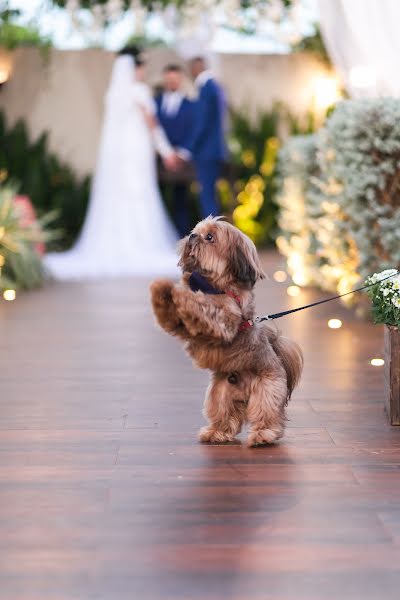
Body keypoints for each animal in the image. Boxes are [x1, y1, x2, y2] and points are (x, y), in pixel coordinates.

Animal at [150, 216, 304, 446]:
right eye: (195, 230)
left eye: (209, 237)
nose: (192, 236)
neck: (213, 285)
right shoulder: (183, 324)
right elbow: (171, 313)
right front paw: (161, 289)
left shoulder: (221, 319)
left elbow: (199, 304)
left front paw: (177, 291)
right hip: (219, 395)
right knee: (227, 418)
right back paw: (216, 433)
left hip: (266, 391)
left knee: (267, 416)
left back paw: (263, 435)